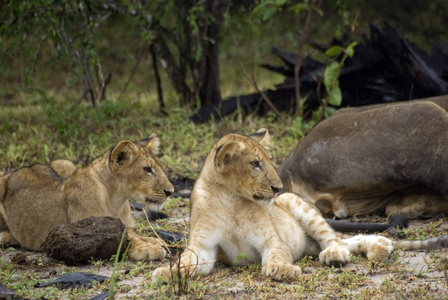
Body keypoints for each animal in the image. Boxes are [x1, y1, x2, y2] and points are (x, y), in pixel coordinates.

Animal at [0, 135, 173, 262]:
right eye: (147, 169)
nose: (170, 191)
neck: (116, 198)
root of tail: (15, 171)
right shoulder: (87, 229)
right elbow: (127, 239)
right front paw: (149, 249)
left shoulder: (126, 225)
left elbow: (134, 233)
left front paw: (154, 240)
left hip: (65, 163)